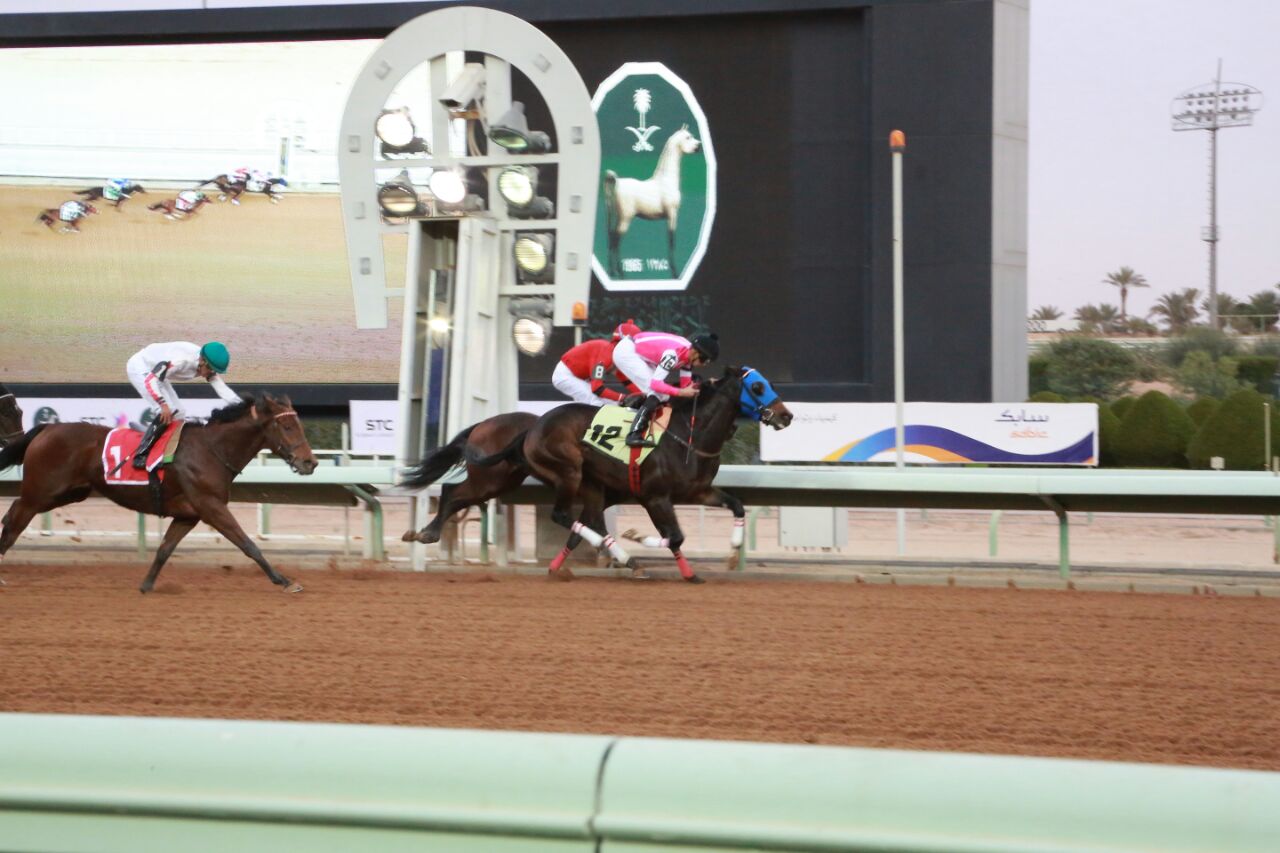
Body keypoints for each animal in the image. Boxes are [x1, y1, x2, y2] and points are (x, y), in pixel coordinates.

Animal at [0, 394, 318, 593]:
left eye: (299, 425)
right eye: (287, 425)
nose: (310, 462)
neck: (211, 450)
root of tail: (45, 428)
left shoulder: (189, 514)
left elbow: (165, 549)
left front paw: (147, 585)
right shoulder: (211, 506)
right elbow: (248, 544)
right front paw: (285, 581)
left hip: (67, 493)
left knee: (11, 514)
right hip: (40, 493)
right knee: (14, 522)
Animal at [398, 411, 539, 545]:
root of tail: (482, 423)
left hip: (503, 481)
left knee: (459, 499)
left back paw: (426, 534)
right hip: (491, 478)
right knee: (451, 490)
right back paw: (427, 534)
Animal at [471, 366, 792, 583]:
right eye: (758, 387)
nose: (786, 415)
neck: (689, 435)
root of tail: (532, 428)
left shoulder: (698, 491)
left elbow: (736, 505)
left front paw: (731, 552)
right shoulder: (654, 497)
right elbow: (674, 537)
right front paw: (635, 536)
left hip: (594, 485)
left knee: (589, 523)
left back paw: (561, 566)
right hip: (568, 472)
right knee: (564, 516)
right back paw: (619, 554)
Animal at [603, 125, 702, 279]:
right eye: (687, 137)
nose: (699, 146)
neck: (665, 180)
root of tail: (617, 182)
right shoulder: (672, 214)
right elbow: (671, 240)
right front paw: (675, 273)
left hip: (617, 217)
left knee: (611, 237)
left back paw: (612, 271)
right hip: (625, 219)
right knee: (616, 240)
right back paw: (621, 273)